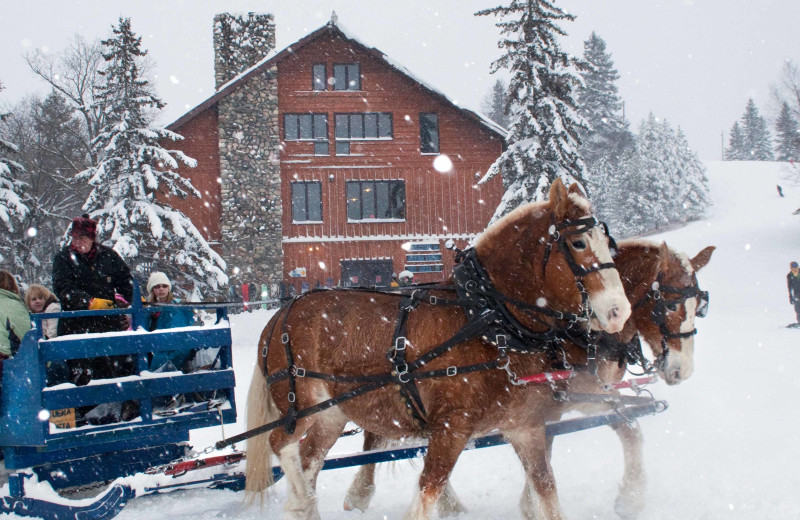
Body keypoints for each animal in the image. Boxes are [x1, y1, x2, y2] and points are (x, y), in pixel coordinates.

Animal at [244, 179, 632, 520]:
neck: (488, 319)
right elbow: (427, 493)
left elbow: (547, 492)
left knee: (309, 458)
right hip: (301, 406)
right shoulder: (450, 428)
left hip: (332, 415)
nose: (619, 311)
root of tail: (279, 316)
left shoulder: (527, 428)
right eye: (578, 243)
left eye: (607, 241)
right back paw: (302, 502)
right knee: (281, 444)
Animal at [342, 240, 712, 520]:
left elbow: (550, 445)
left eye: (700, 307)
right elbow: (626, 429)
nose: (681, 370)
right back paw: (361, 495)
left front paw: (531, 503)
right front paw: (630, 499)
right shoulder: (579, 393)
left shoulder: (558, 400)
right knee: (376, 438)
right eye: (670, 305)